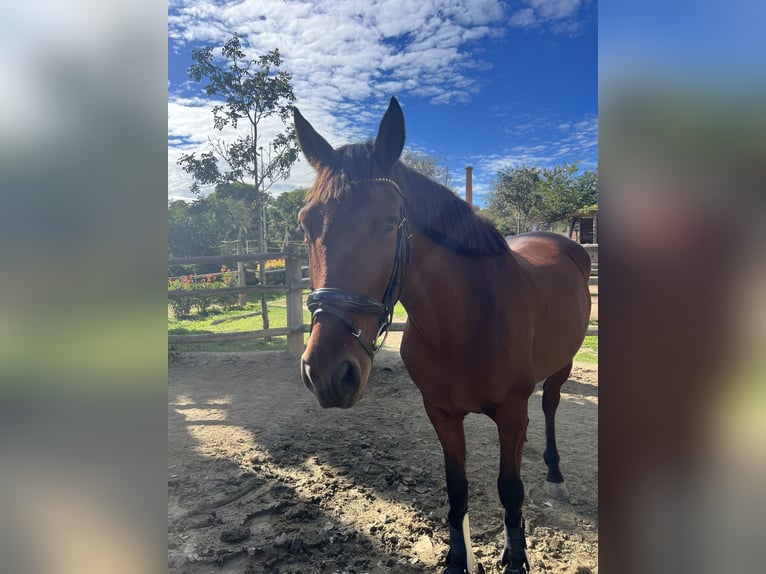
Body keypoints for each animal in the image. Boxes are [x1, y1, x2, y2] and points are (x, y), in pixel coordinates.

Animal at [294, 99, 592, 574]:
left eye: (387, 224)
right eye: (306, 224)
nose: (327, 373)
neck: (462, 322)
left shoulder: (511, 412)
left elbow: (510, 489)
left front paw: (516, 556)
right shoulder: (441, 413)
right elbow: (457, 488)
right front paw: (458, 558)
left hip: (560, 368)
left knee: (548, 408)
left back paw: (554, 475)